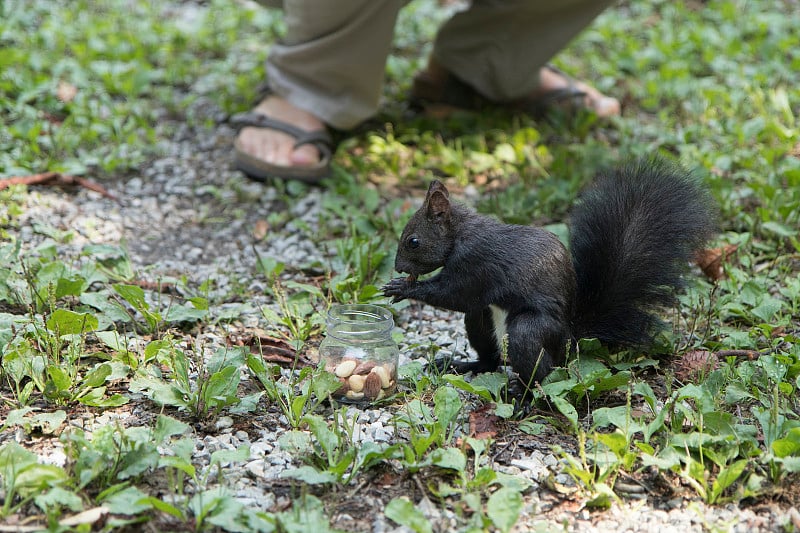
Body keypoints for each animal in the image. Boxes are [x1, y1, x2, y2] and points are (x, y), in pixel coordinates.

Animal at [382, 158, 720, 386]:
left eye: (413, 241)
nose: (398, 267)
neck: (461, 233)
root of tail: (570, 340)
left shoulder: (475, 261)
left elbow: (454, 294)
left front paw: (403, 288)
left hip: (530, 330)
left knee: (539, 371)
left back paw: (520, 396)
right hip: (481, 321)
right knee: (492, 359)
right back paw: (466, 366)